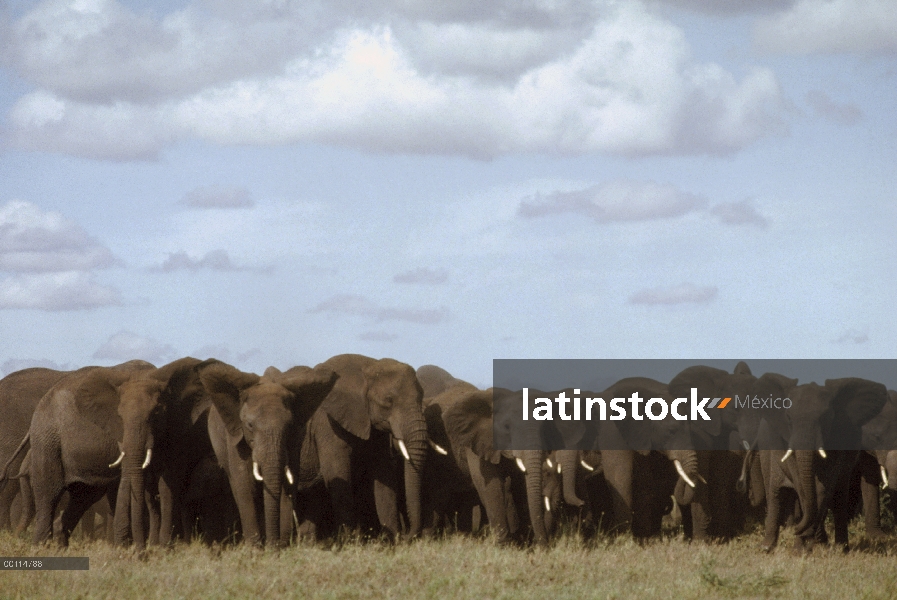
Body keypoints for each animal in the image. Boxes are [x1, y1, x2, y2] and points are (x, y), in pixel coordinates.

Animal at [201, 358, 338, 548]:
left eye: (289, 426)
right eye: (250, 425)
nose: (273, 546)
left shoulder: (296, 438)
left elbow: (288, 484)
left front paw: (280, 546)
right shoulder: (235, 438)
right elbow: (245, 485)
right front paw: (255, 549)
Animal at [756, 378, 888, 552]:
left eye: (826, 417)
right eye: (788, 418)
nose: (796, 529)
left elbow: (824, 486)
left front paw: (811, 542)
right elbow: (801, 484)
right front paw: (803, 546)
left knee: (839, 497)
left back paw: (840, 548)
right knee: (774, 494)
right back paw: (767, 548)